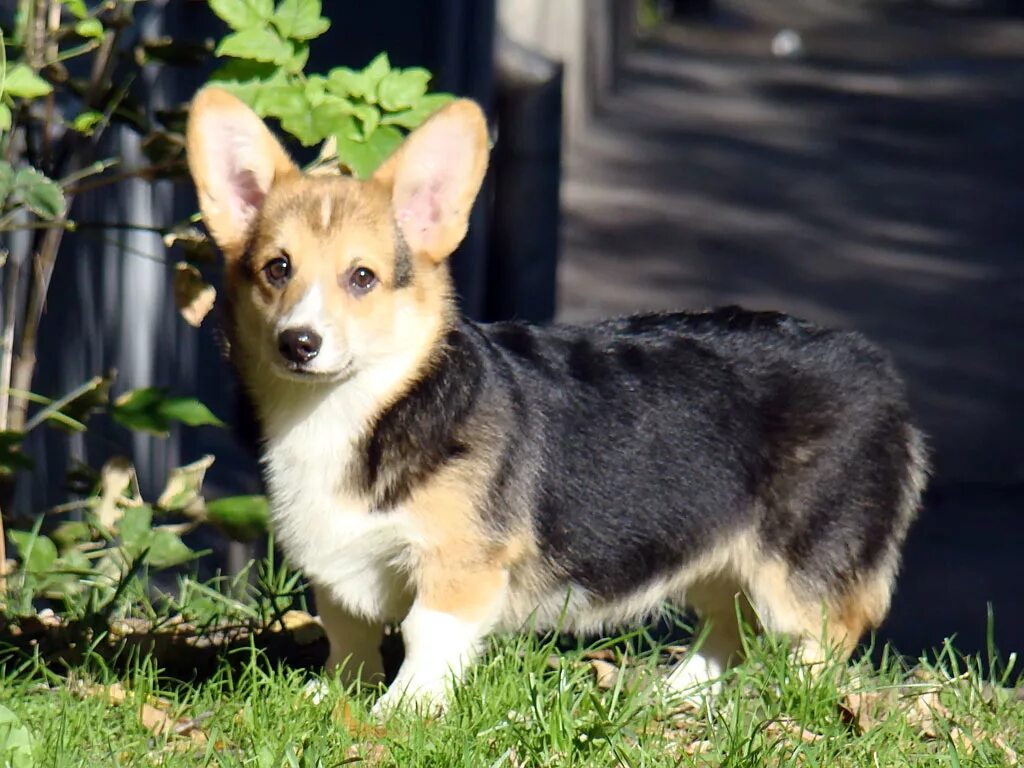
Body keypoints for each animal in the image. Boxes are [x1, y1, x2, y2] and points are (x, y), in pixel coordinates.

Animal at [184, 90, 929, 716]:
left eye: (362, 278)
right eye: (277, 268)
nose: (299, 343)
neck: (365, 408)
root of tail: (876, 367)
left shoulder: (460, 565)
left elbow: (427, 634)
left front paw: (402, 711)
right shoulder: (339, 568)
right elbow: (349, 632)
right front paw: (336, 694)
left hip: (799, 563)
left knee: (825, 634)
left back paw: (795, 705)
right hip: (714, 548)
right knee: (729, 624)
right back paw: (678, 694)